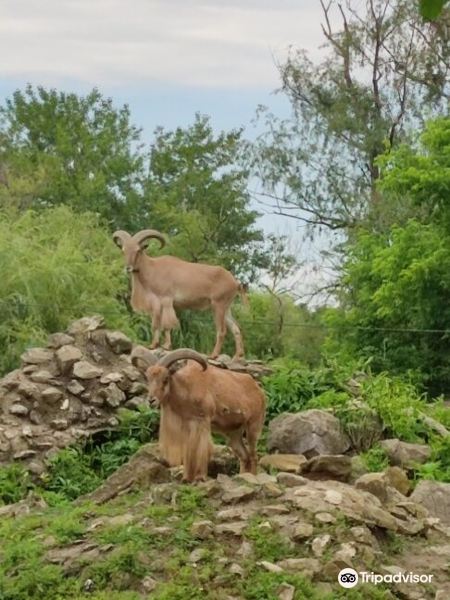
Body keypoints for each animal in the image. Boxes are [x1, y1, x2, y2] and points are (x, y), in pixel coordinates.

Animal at [112, 230, 246, 360]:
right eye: (123, 250)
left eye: (138, 250)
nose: (128, 268)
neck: (153, 269)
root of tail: (235, 282)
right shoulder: (157, 303)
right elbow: (157, 324)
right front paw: (154, 345)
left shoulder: (165, 299)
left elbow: (166, 324)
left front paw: (165, 346)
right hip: (226, 308)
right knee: (236, 328)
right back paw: (237, 356)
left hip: (218, 306)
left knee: (222, 330)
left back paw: (213, 355)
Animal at [133, 346, 268, 482]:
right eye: (148, 379)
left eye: (165, 379)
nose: (151, 400)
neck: (187, 387)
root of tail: (259, 391)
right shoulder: (187, 426)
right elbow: (188, 451)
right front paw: (186, 478)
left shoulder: (203, 421)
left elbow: (202, 449)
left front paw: (200, 477)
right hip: (233, 433)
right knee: (244, 456)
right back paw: (243, 476)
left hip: (253, 426)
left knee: (253, 456)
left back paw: (253, 477)